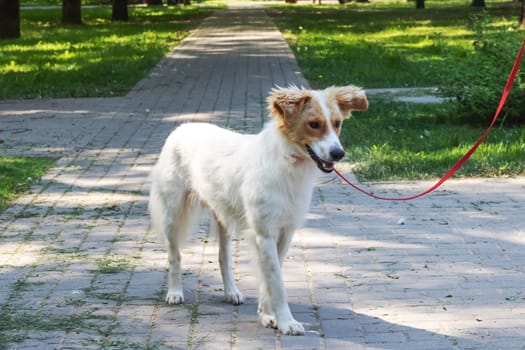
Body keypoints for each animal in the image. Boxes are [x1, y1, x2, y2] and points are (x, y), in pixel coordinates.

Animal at [149, 84, 366, 334]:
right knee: (174, 256)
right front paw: (286, 321)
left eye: (337, 123)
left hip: (223, 218)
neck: (287, 161)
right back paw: (175, 292)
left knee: (223, 258)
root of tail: (184, 126)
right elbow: (277, 283)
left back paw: (231, 292)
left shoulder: (284, 233)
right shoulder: (265, 234)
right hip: (172, 215)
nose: (338, 153)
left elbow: (269, 279)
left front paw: (267, 315)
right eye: (314, 124)